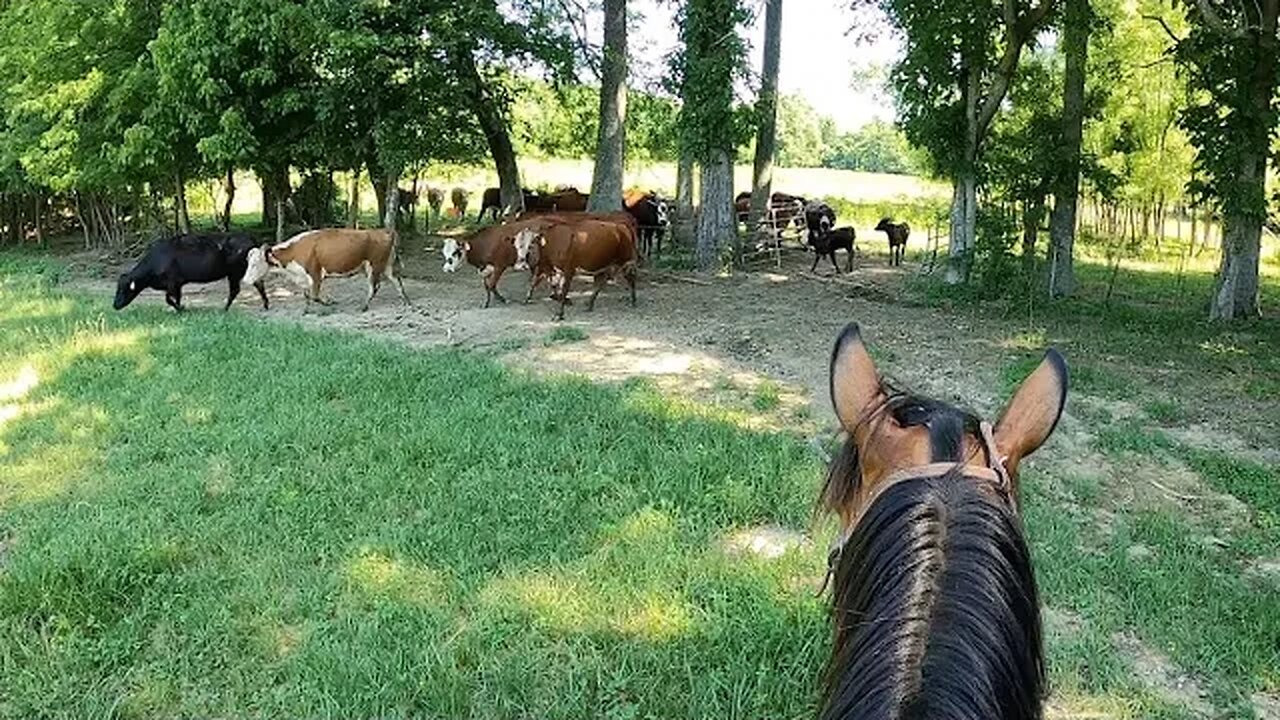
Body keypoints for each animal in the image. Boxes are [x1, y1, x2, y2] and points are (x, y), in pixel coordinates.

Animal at [113, 229, 266, 308]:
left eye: (123, 290)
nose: (115, 305)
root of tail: (249, 239)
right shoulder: (177, 285)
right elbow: (176, 298)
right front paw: (180, 308)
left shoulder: (172, 283)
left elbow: (168, 299)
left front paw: (180, 308)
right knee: (259, 284)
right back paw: (265, 305)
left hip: (234, 273)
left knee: (235, 290)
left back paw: (224, 309)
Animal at [241, 226, 407, 311]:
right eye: (248, 263)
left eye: (255, 264)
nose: (245, 280)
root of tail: (384, 231)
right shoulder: (304, 277)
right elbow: (306, 295)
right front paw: (306, 310)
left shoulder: (315, 274)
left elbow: (315, 296)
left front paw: (329, 302)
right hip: (386, 266)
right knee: (397, 281)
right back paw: (406, 302)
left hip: (374, 266)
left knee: (374, 287)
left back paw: (364, 306)